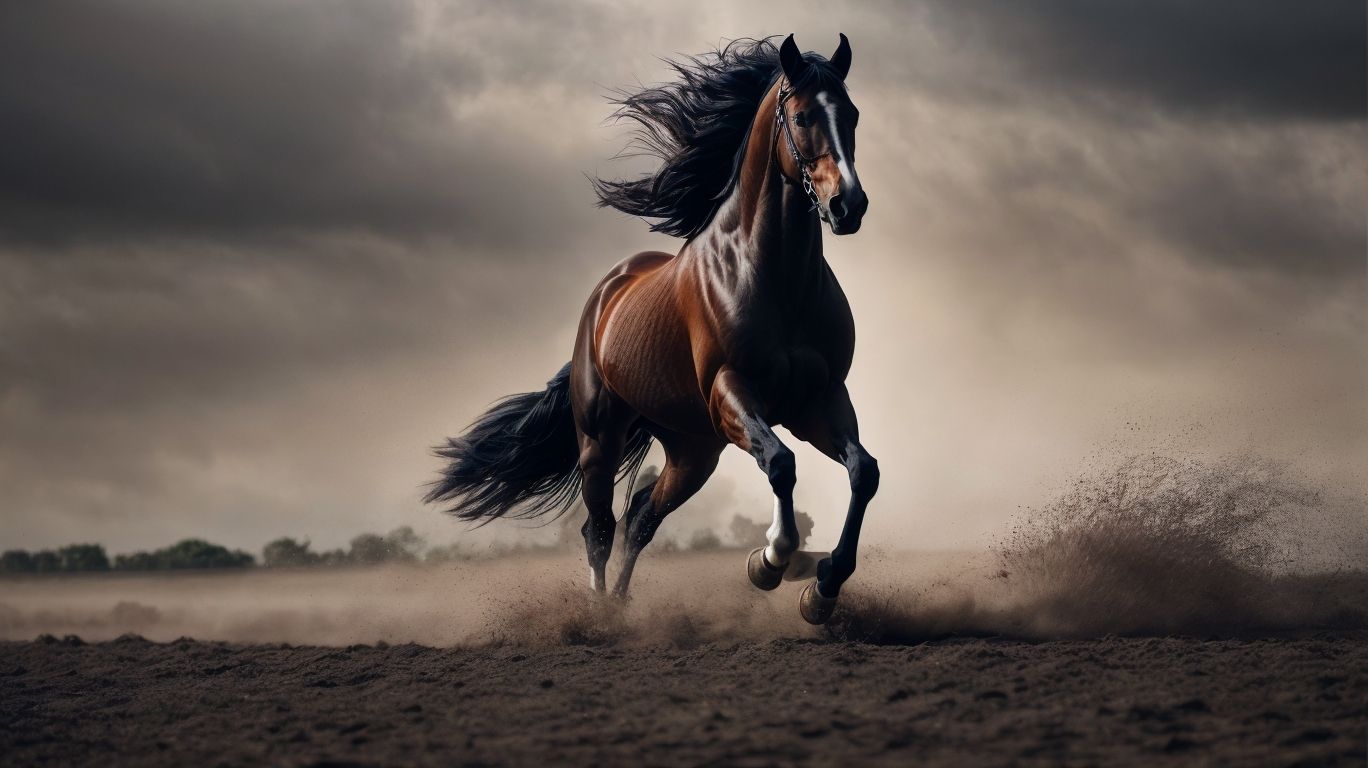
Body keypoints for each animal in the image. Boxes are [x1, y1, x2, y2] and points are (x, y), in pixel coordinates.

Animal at [426, 34, 876, 624]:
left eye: (852, 114)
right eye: (802, 116)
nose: (849, 206)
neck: (770, 276)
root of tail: (606, 294)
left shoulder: (818, 401)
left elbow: (862, 472)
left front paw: (821, 588)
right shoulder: (733, 392)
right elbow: (780, 463)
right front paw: (770, 561)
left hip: (694, 450)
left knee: (642, 516)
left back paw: (621, 605)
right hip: (603, 439)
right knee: (599, 528)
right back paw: (600, 616)